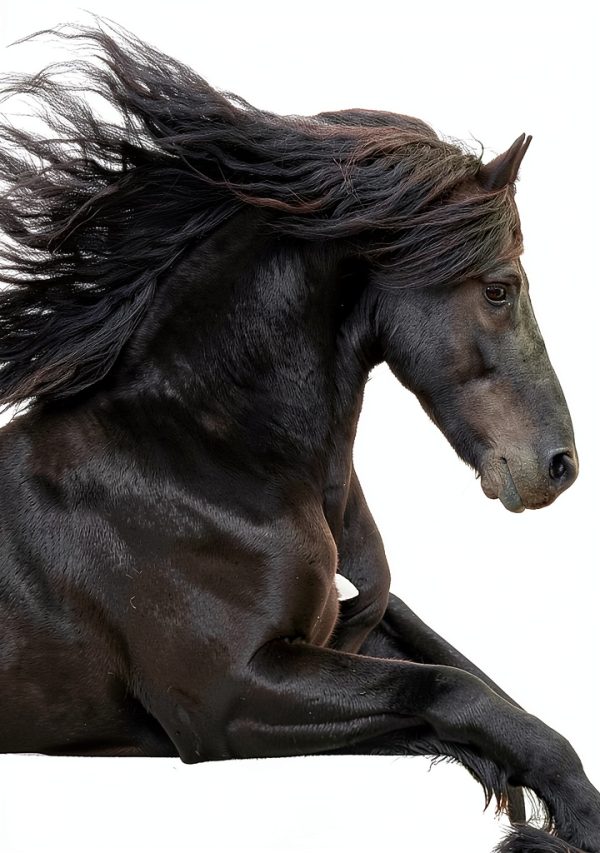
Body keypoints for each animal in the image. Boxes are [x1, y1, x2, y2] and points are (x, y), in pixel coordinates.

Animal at [0, 22, 597, 853]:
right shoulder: (229, 698)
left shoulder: (338, 635)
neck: (205, 460)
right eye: (500, 288)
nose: (558, 464)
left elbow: (475, 684)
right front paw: (563, 821)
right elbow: (451, 689)